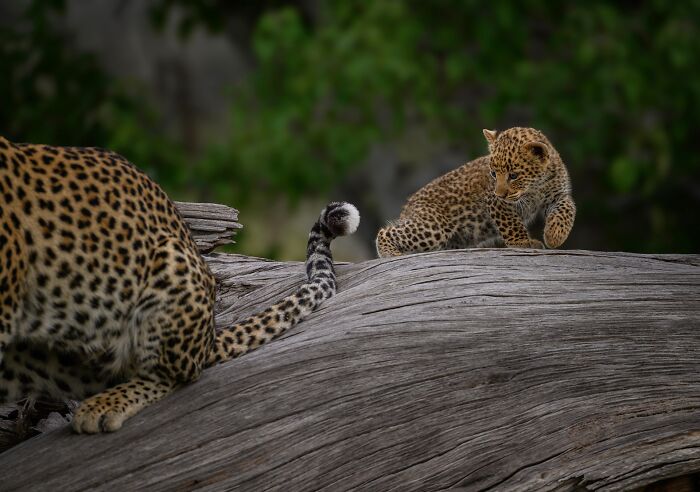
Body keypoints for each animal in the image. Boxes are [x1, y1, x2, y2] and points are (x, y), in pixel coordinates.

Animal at [376, 127, 575, 256]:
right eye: (493, 173)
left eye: (513, 175)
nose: (500, 193)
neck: (534, 187)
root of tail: (408, 206)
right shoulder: (496, 203)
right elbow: (512, 224)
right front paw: (523, 243)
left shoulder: (558, 194)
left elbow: (567, 210)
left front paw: (554, 236)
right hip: (434, 226)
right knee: (385, 231)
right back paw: (391, 254)